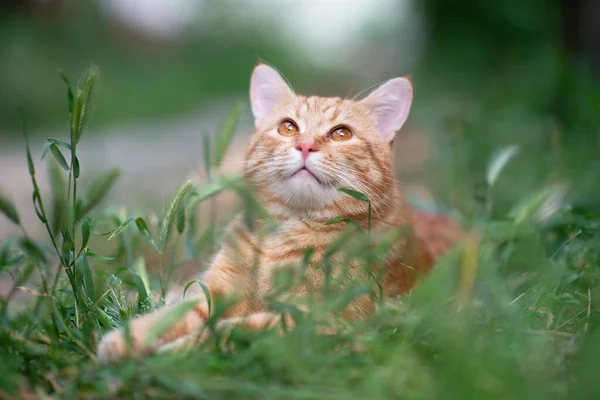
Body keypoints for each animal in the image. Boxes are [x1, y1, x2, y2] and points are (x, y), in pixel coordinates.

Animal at [97, 63, 464, 362]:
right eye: (288, 127)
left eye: (341, 133)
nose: (305, 146)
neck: (284, 231)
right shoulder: (216, 292)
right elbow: (171, 316)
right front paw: (127, 339)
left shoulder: (317, 320)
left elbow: (229, 331)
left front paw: (176, 351)